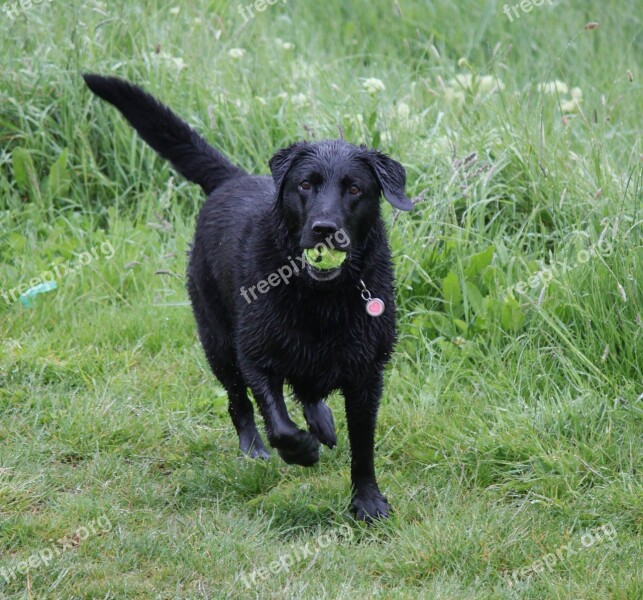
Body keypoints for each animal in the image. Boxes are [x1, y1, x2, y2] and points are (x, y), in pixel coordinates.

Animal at [84, 75, 412, 520]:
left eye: (356, 189)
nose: (325, 229)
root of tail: (232, 178)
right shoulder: (255, 355)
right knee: (239, 402)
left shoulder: (367, 375)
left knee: (309, 391)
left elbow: (363, 446)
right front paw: (301, 451)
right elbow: (280, 425)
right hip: (217, 342)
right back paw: (254, 447)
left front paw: (368, 501)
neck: (321, 296)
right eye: (305, 184)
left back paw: (323, 423)